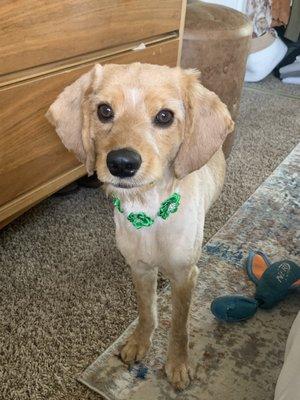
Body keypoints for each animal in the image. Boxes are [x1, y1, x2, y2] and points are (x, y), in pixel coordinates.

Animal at [47, 63, 234, 390]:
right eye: (104, 110)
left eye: (165, 116)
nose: (121, 163)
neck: (149, 212)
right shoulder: (140, 267)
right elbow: (146, 311)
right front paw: (139, 343)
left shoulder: (184, 276)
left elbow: (180, 326)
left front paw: (177, 364)